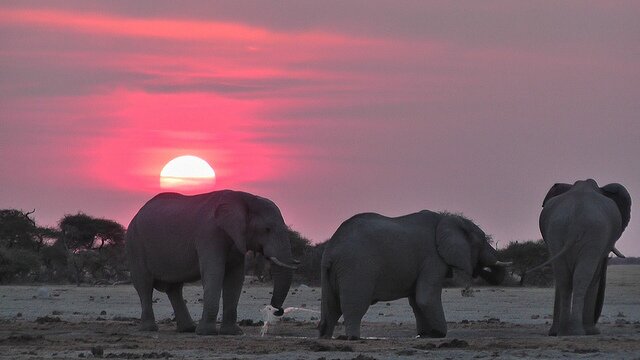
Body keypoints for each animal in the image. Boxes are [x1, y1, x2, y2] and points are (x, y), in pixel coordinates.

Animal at [126, 191, 298, 334]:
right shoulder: (209, 234)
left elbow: (235, 278)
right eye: (267, 229)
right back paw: (149, 329)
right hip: (135, 244)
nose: (277, 310)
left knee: (174, 289)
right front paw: (206, 332)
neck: (245, 198)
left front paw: (232, 333)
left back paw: (188, 329)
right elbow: (214, 272)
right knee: (144, 285)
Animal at [318, 210, 508, 338]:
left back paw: (325, 337)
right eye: (483, 240)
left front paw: (425, 335)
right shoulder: (432, 258)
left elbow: (416, 301)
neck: (448, 219)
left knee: (330, 308)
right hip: (356, 267)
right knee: (355, 304)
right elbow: (426, 297)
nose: (481, 269)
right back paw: (353, 338)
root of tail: (332, 248)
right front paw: (439, 334)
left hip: (331, 272)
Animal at [536, 179, 632, 336]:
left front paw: (554, 333)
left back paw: (563, 331)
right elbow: (595, 276)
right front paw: (592, 331)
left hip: (556, 231)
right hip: (594, 232)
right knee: (583, 277)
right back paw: (578, 331)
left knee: (564, 279)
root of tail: (575, 222)